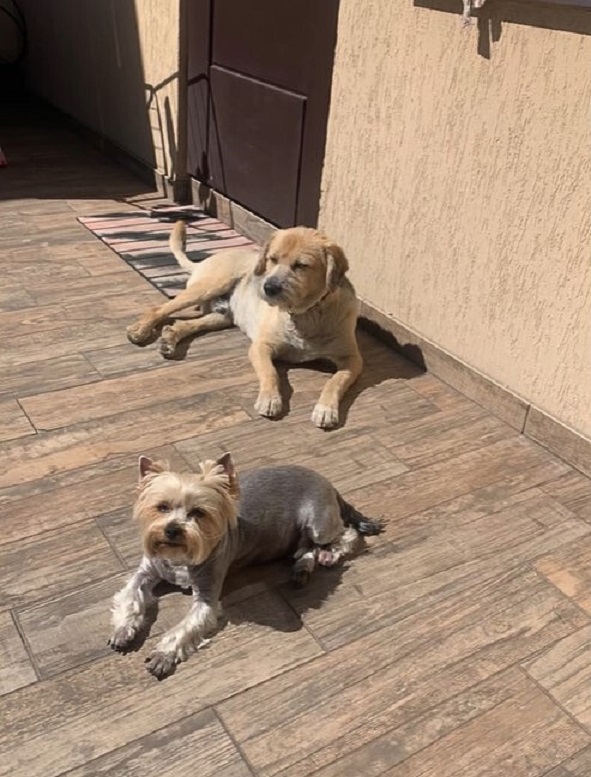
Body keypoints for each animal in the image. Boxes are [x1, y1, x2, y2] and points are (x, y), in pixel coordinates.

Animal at [127, 218, 364, 428]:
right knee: (159, 309)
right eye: (272, 259)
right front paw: (270, 399)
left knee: (187, 324)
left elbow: (335, 381)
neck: (306, 314)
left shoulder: (352, 359)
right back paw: (140, 330)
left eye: (301, 265)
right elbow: (270, 372)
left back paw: (170, 338)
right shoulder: (261, 347)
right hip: (208, 286)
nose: (268, 287)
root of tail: (204, 261)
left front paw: (326, 409)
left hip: (222, 316)